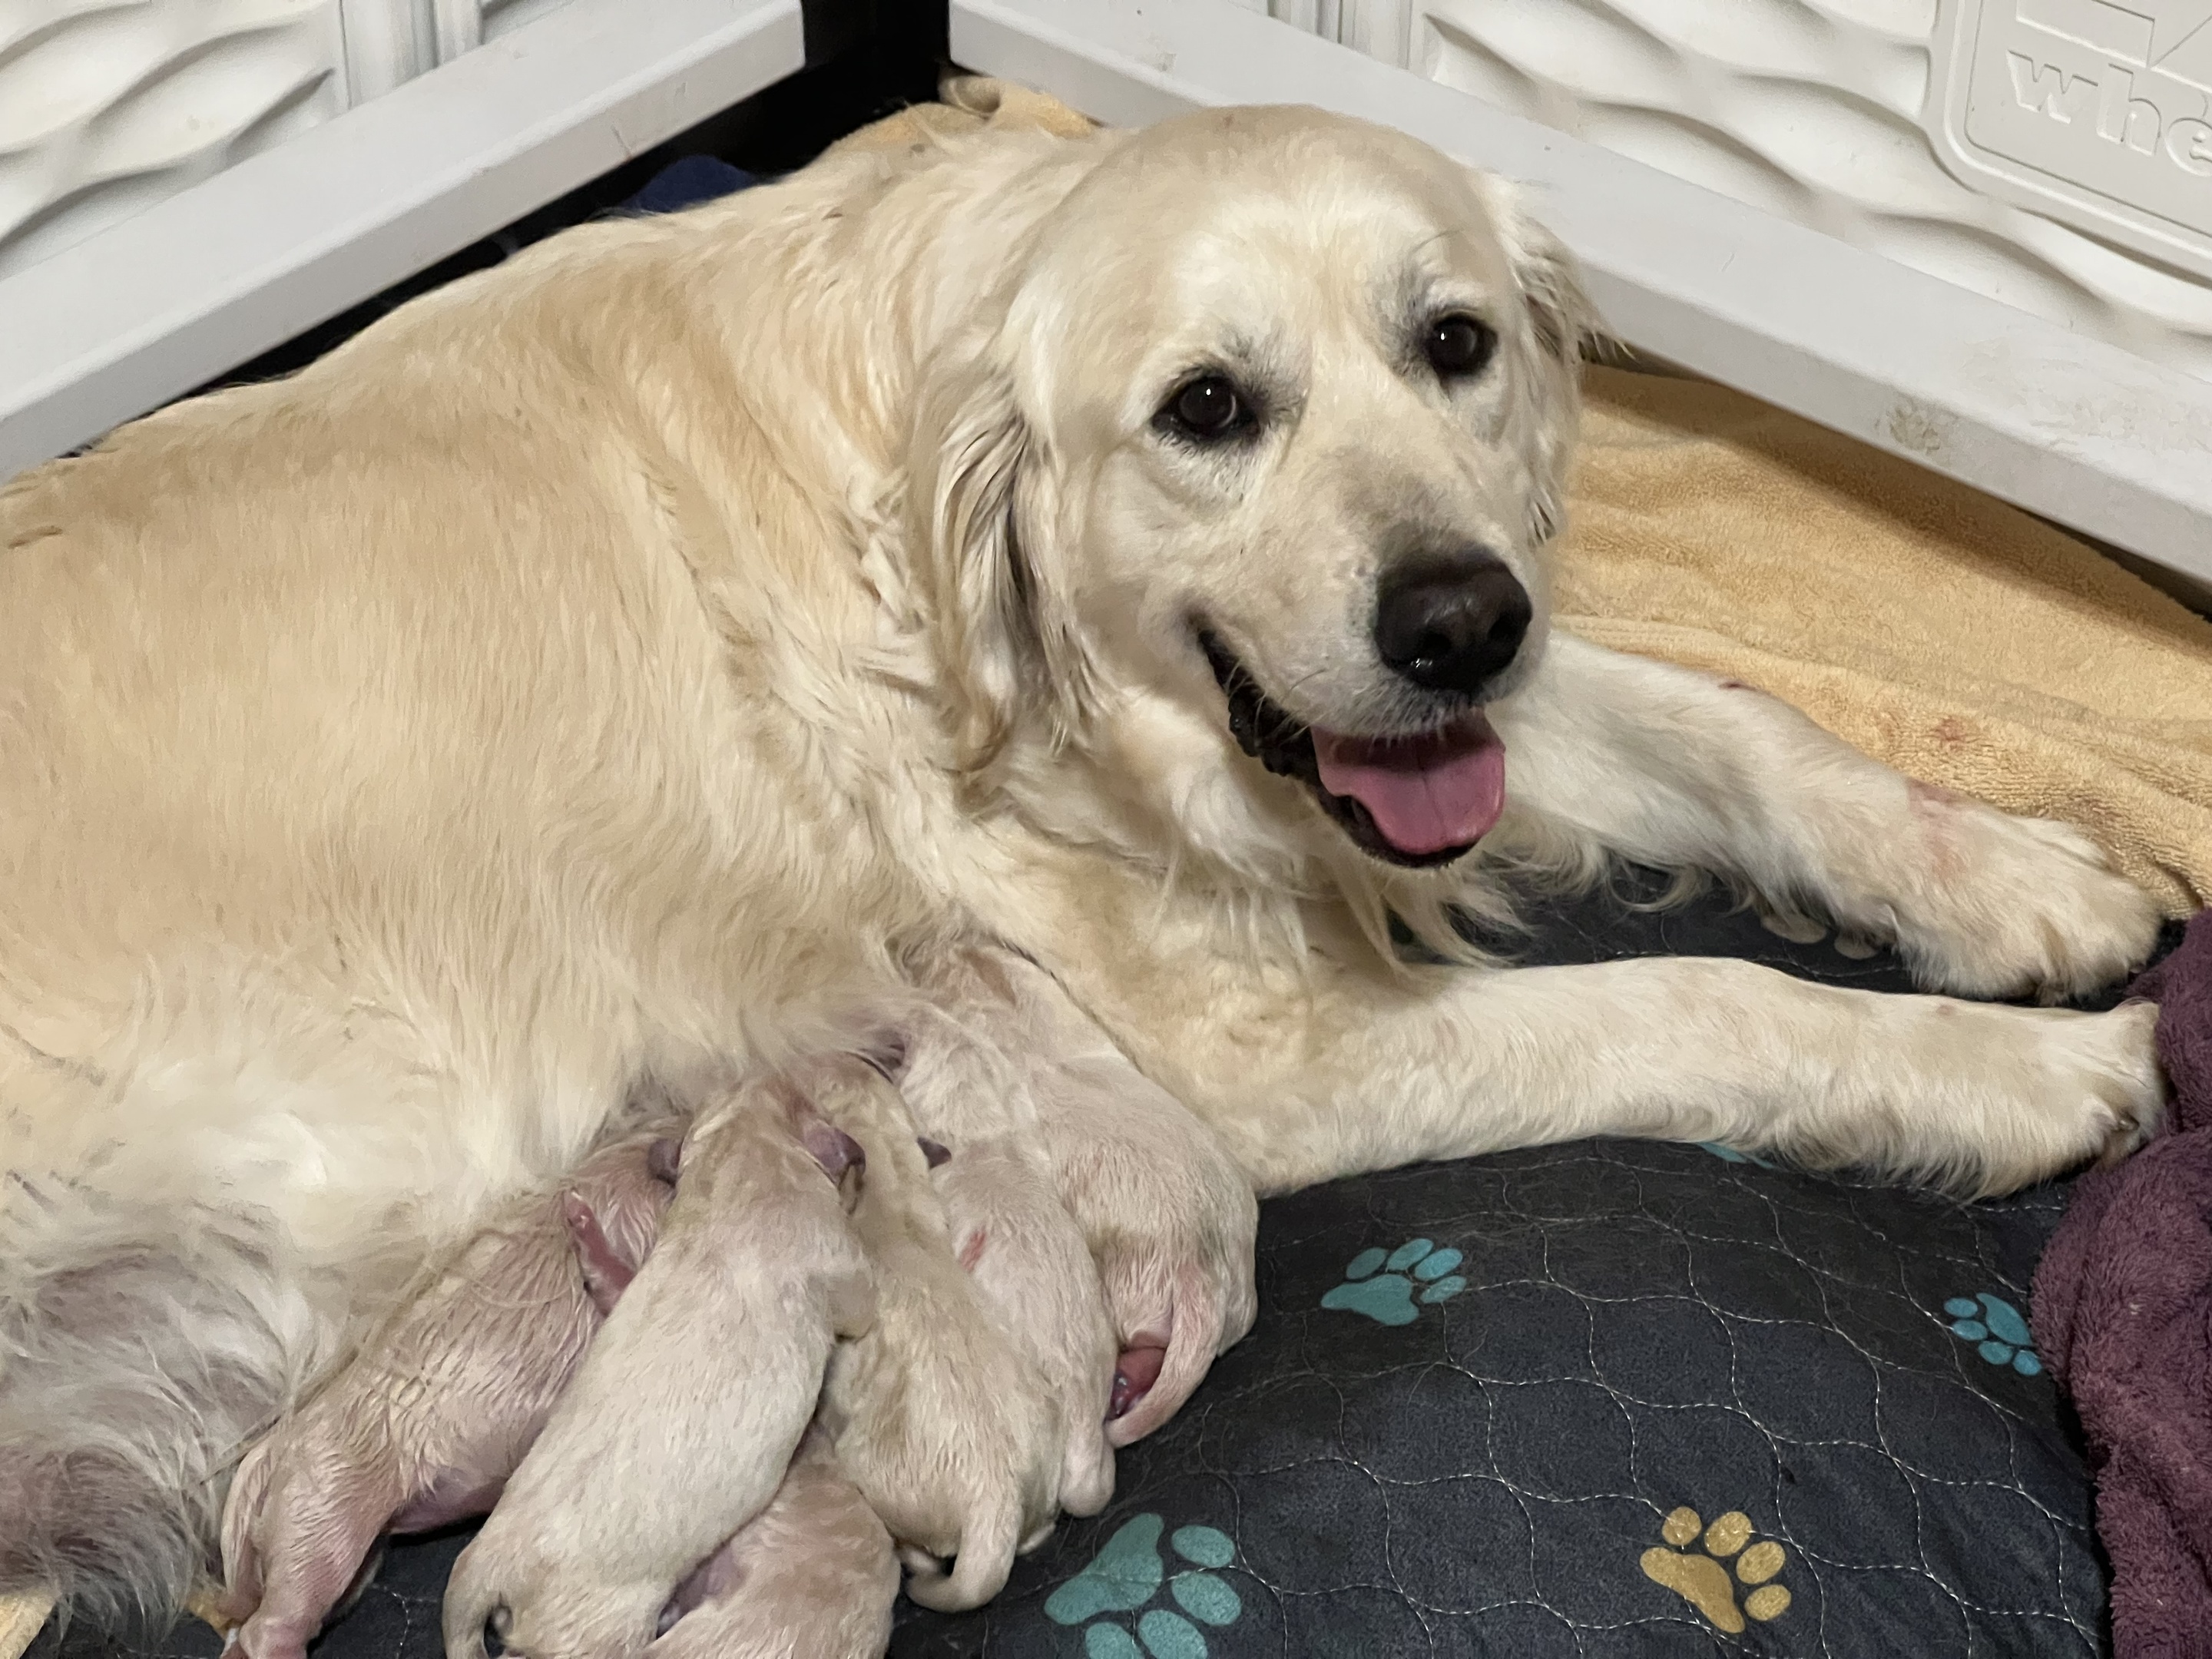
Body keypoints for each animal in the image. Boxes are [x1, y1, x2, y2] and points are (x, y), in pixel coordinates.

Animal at [0, 102, 2166, 1633]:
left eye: (1453, 341)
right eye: (1206, 408)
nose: (1461, 619)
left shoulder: (1401, 748)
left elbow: (1747, 731)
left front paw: (2011, 883)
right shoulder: (1265, 1052)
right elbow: (1699, 994)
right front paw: (2012, 1077)